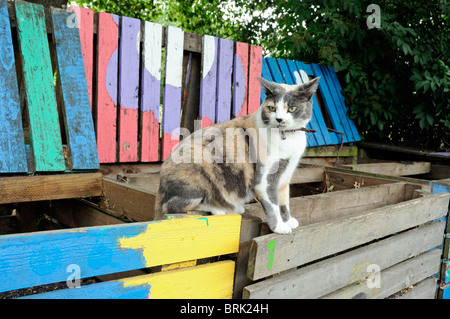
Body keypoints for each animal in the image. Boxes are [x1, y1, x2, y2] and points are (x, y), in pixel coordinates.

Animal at [155, 76, 320, 234]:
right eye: (272, 108)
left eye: (292, 108)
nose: (279, 119)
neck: (288, 138)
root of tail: (160, 187)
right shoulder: (264, 179)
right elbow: (272, 204)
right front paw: (279, 226)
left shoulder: (285, 175)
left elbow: (284, 201)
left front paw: (288, 220)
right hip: (195, 174)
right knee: (173, 207)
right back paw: (222, 209)